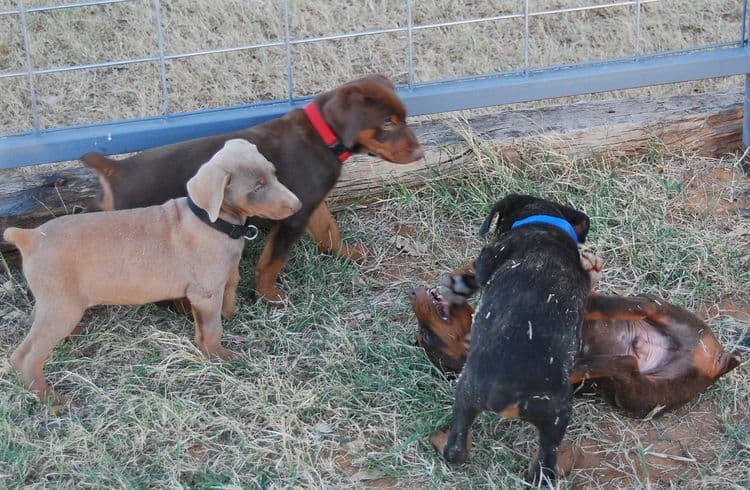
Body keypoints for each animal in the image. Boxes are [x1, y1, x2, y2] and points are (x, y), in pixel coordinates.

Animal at [5, 140, 302, 400]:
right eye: (257, 187)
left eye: (274, 174)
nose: (298, 204)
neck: (211, 222)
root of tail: (30, 236)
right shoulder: (204, 293)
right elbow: (213, 328)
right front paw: (219, 356)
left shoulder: (219, 279)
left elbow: (225, 298)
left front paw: (224, 323)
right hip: (61, 306)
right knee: (26, 356)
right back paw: (49, 399)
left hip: (53, 301)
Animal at [83, 74, 426, 302]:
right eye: (387, 122)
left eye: (403, 117)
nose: (421, 154)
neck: (323, 136)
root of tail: (115, 168)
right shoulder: (292, 217)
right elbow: (272, 261)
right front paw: (269, 296)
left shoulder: (309, 203)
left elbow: (329, 228)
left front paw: (347, 254)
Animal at [412, 258, 748, 416]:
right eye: (426, 337)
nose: (413, 293)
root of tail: (714, 361)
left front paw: (467, 273)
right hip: (637, 395)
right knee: (624, 362)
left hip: (671, 318)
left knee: (641, 306)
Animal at [428, 194, 592, 482]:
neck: (545, 222)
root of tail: (503, 395)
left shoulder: (492, 253)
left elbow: (479, 269)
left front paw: (462, 283)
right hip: (551, 415)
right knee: (541, 465)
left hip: (470, 393)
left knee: (459, 447)